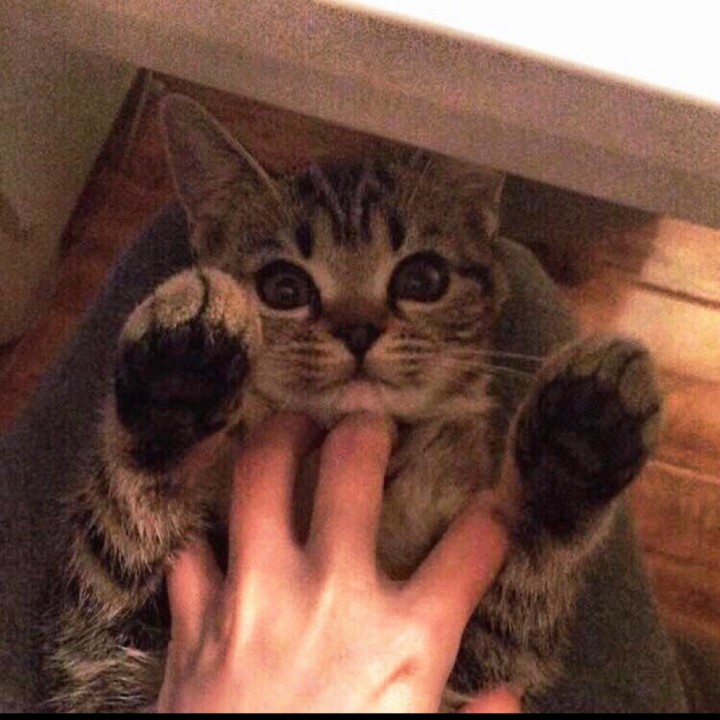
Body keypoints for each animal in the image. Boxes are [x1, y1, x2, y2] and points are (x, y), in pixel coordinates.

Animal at [44, 94, 662, 712]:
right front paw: (176, 374)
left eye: (423, 278)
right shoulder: (106, 643)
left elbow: (527, 578)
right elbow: (124, 523)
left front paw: (578, 439)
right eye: (284, 288)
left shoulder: (484, 664)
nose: (359, 329)